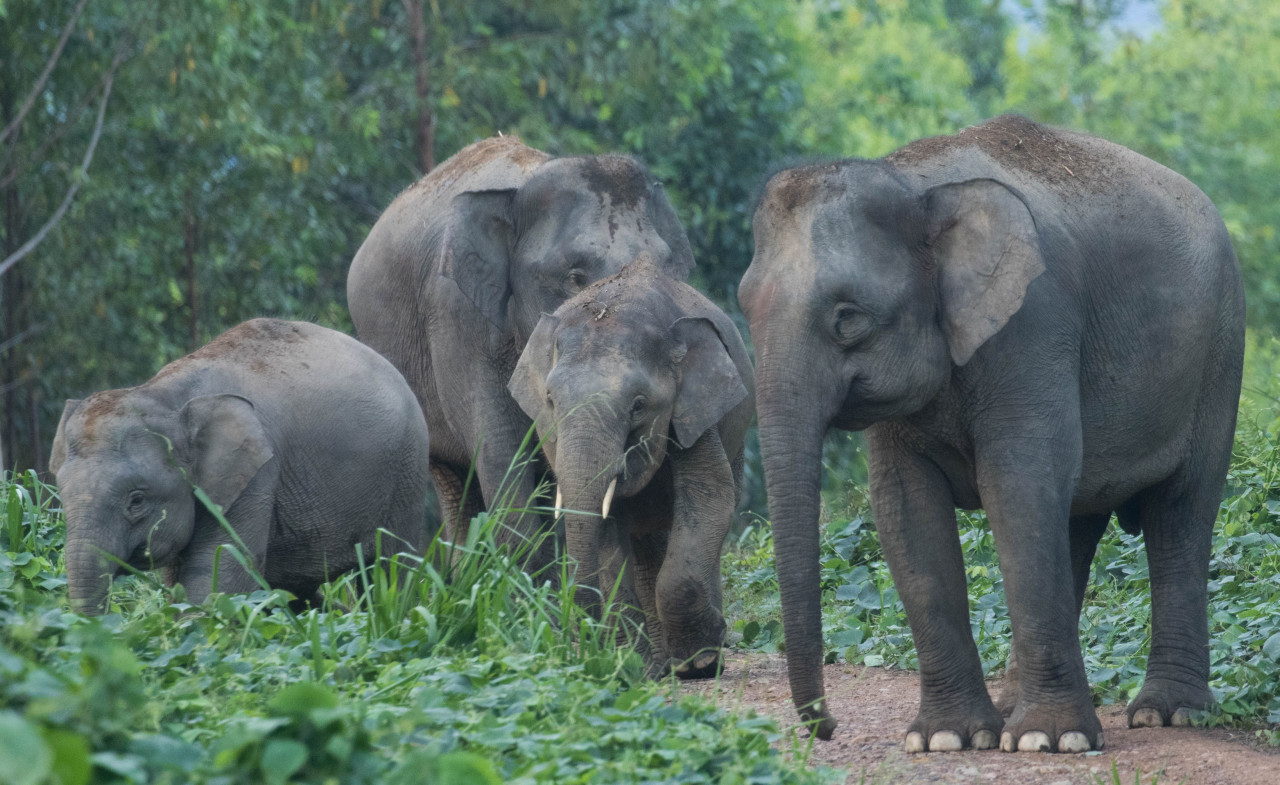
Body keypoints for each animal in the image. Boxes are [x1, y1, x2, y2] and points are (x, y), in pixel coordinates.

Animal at [49, 318, 431, 615]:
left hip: (406, 472)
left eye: (137, 501)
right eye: (62, 498)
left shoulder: (258, 475)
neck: (164, 395)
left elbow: (217, 574)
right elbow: (181, 580)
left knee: (394, 568)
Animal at [507, 260, 753, 678]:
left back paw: (697, 660)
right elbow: (607, 529)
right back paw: (659, 665)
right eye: (551, 401)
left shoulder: (695, 414)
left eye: (638, 405)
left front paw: (699, 663)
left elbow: (710, 498)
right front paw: (630, 669)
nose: (579, 631)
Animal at [739, 115, 1244, 752]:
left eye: (848, 318)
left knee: (1180, 512)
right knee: (1076, 519)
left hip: (1219, 354)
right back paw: (1013, 708)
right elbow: (906, 510)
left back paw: (1167, 715)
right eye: (742, 307)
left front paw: (1047, 742)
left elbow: (1017, 484)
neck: (915, 183)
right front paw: (946, 739)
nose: (824, 729)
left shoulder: (1032, 324)